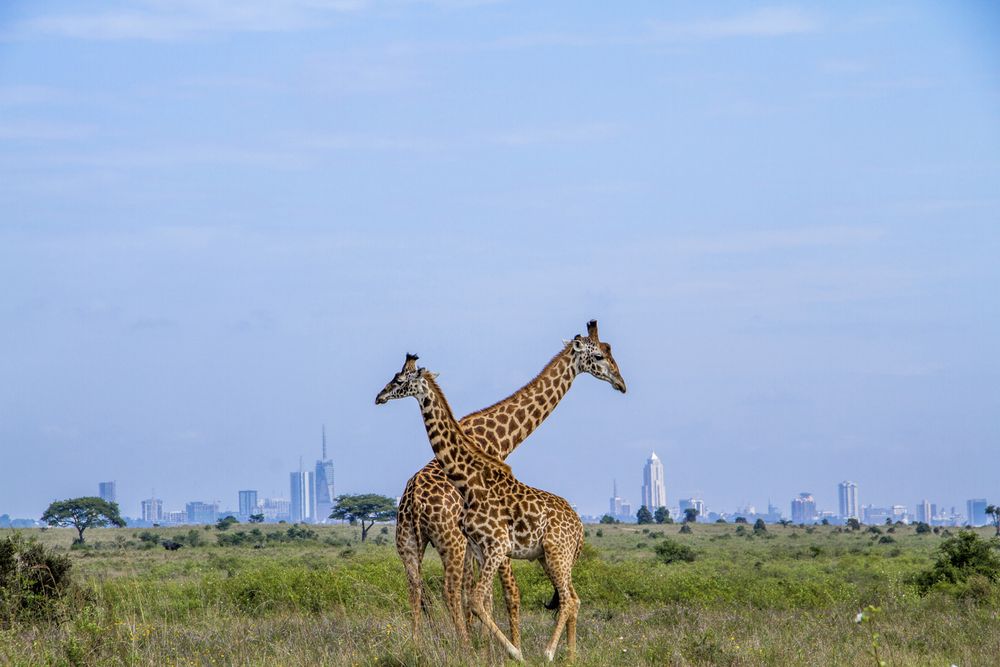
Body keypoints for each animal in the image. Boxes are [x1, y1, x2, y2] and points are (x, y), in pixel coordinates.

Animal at [386, 324, 620, 648]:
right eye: (599, 355)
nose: (620, 382)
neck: (498, 439)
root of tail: (415, 501)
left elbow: (485, 596)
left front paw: (491, 643)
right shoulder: (492, 542)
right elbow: (508, 594)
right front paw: (507, 646)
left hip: (408, 541)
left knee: (416, 589)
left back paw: (420, 645)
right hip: (450, 543)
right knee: (449, 591)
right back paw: (464, 646)